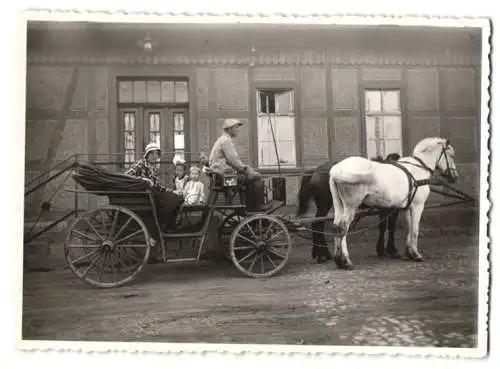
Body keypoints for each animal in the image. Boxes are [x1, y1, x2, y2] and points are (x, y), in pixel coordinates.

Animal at [330, 137, 458, 268]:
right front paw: (416, 254)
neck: (418, 169)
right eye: (451, 155)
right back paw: (346, 260)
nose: (455, 176)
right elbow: (415, 229)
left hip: (339, 205)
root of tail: (336, 170)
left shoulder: (408, 207)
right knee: (343, 227)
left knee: (336, 227)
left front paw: (409, 253)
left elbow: (409, 228)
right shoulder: (418, 206)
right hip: (351, 207)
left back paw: (338, 259)